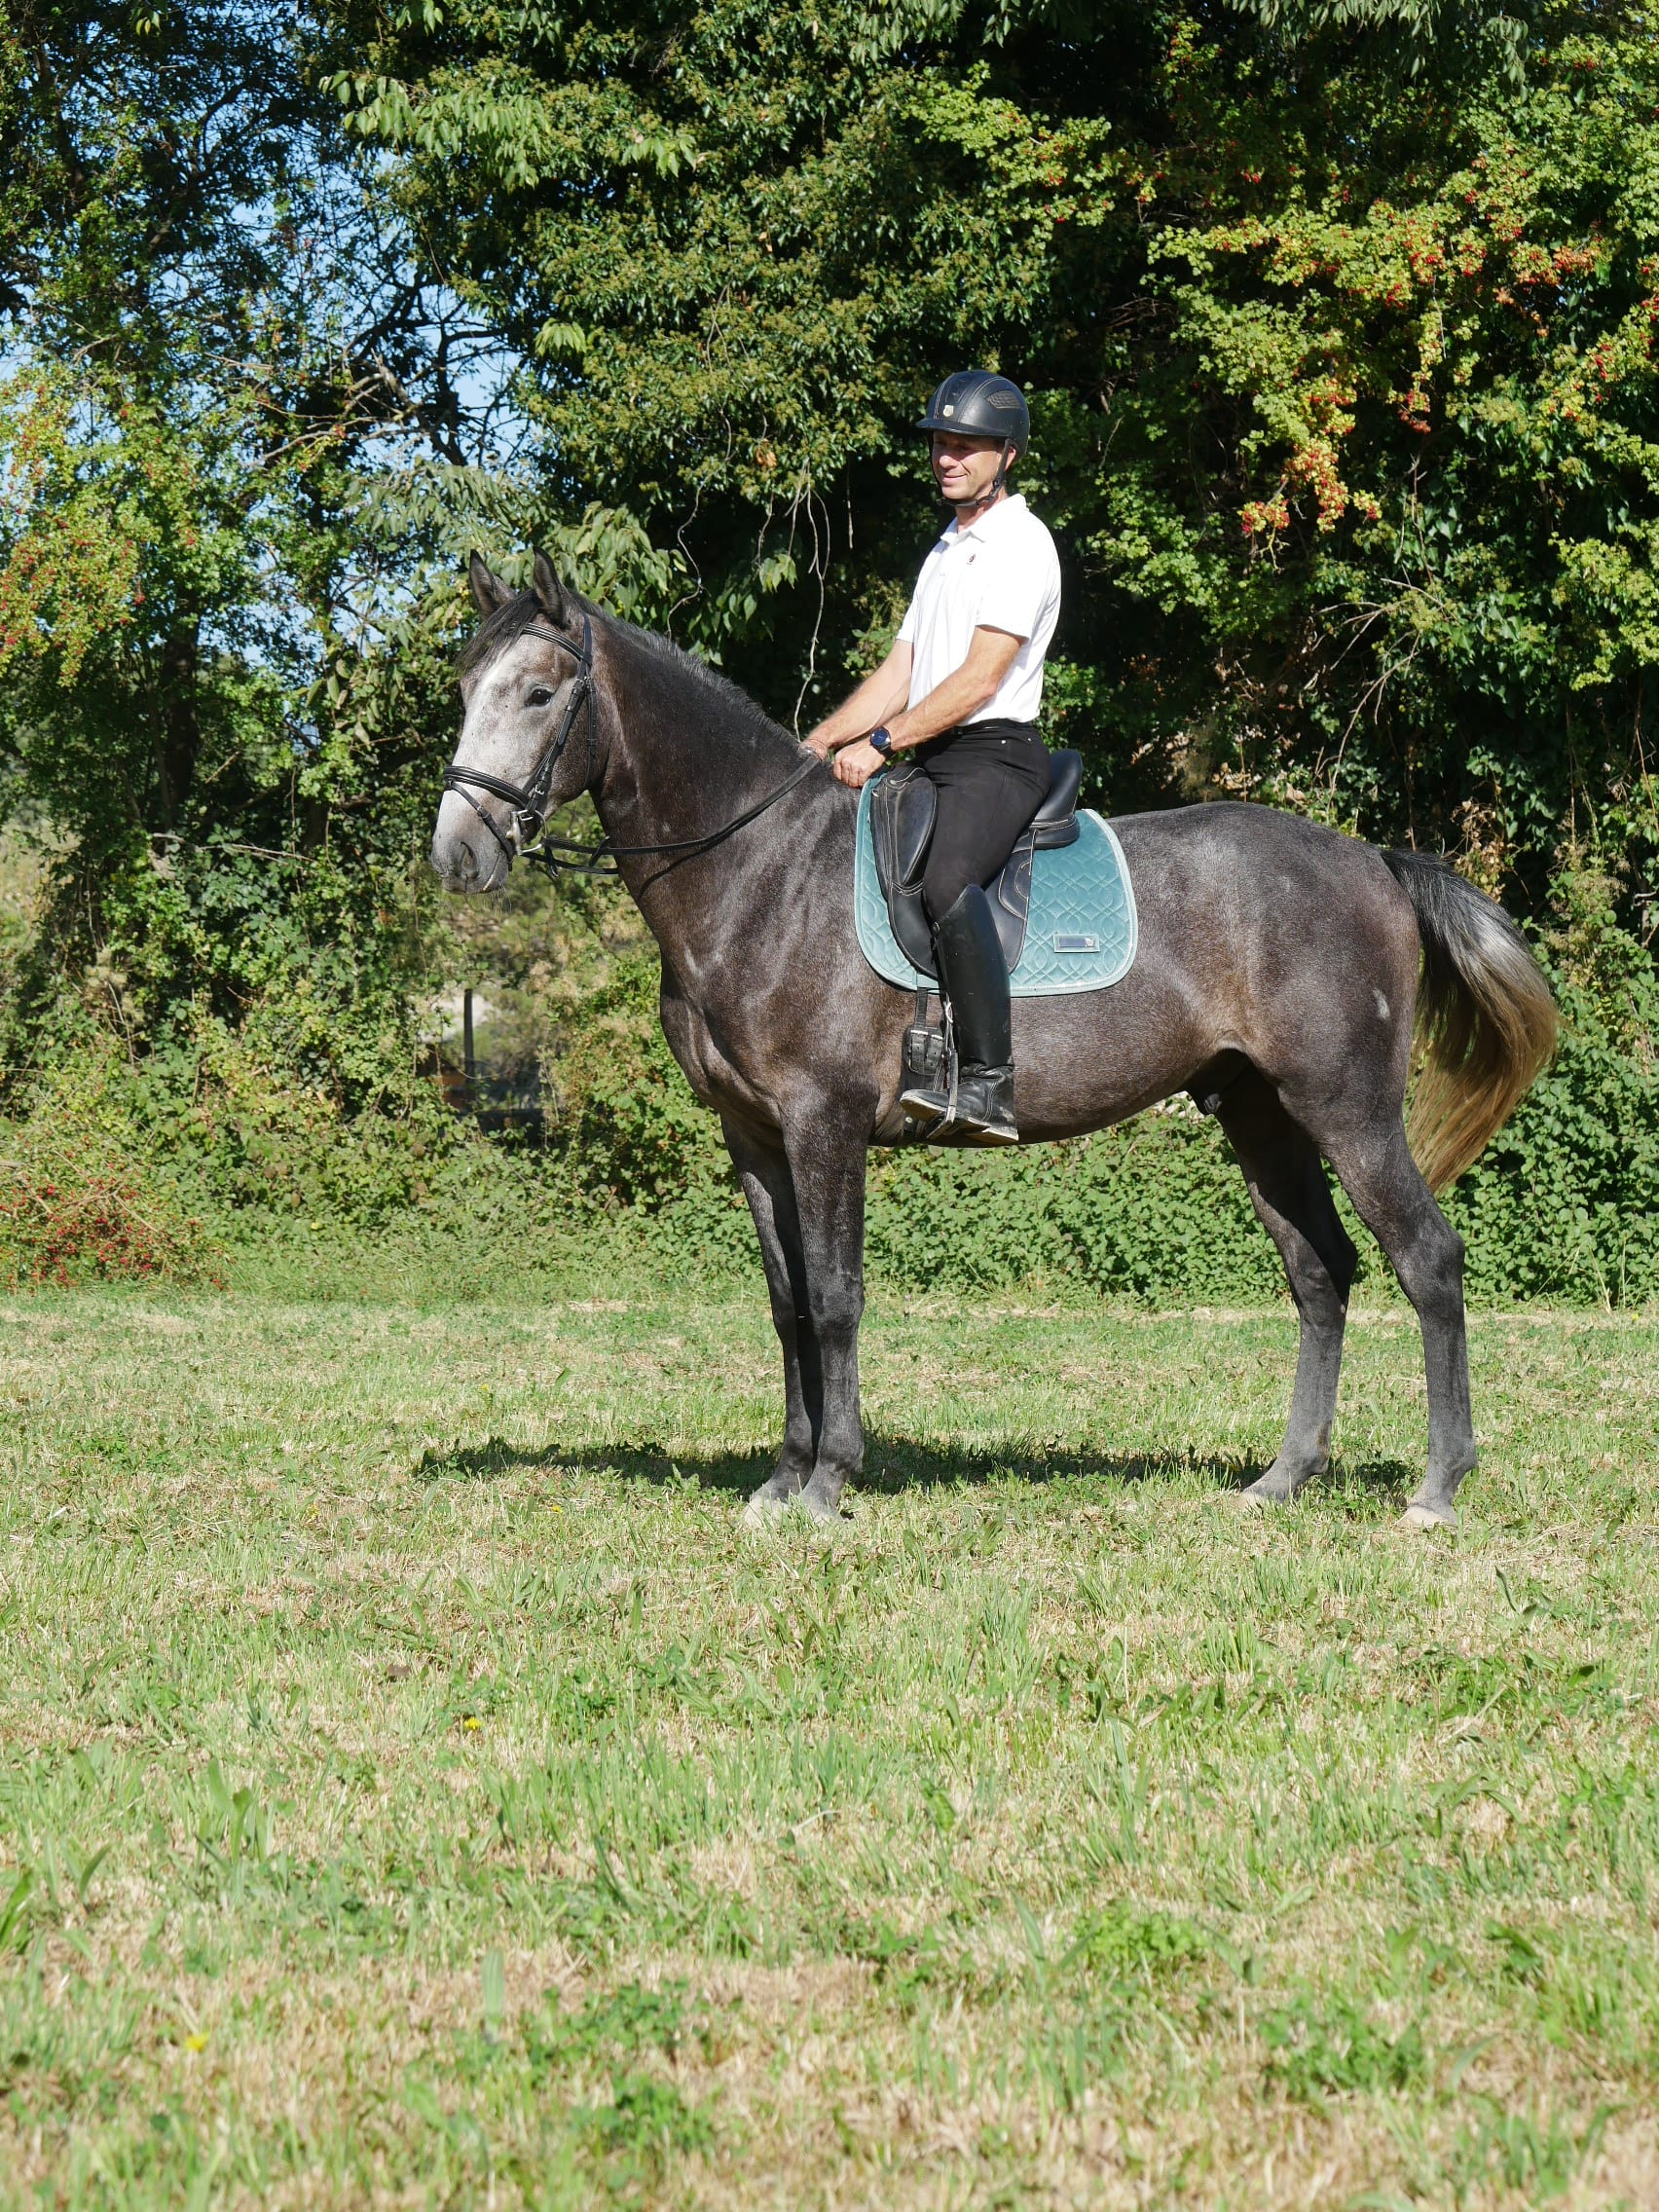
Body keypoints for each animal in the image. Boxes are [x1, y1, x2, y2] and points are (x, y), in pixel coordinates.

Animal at [431, 553, 1557, 1531]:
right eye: (466, 686)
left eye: (539, 694)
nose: (458, 854)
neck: (757, 870)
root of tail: (1371, 860)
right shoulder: (752, 1137)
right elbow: (787, 1304)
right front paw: (780, 1479)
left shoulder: (824, 1125)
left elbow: (835, 1299)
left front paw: (829, 1482)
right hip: (1260, 1115)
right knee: (1321, 1274)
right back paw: (1284, 1478)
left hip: (1347, 1108)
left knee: (1428, 1261)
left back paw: (1437, 1488)